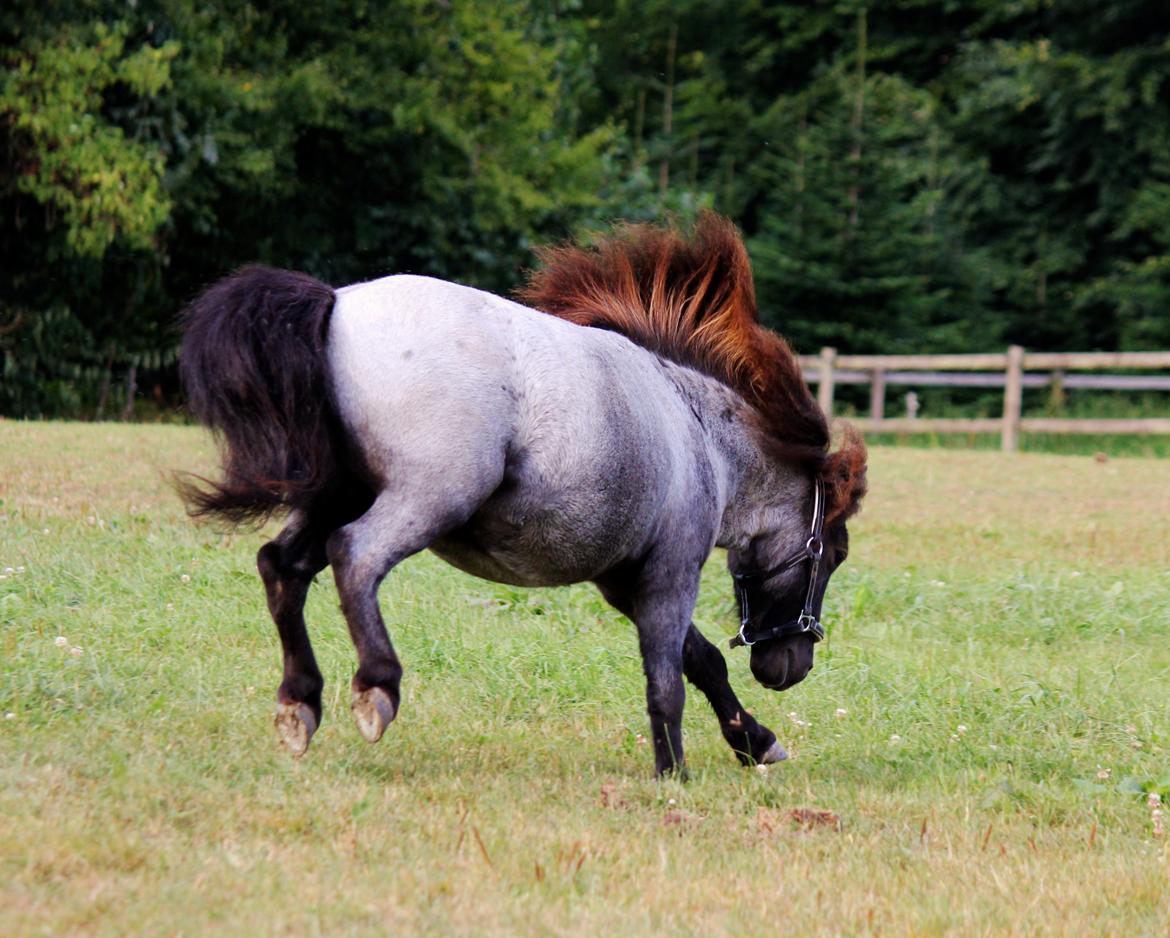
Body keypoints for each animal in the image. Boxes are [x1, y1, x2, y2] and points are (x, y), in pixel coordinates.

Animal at [175, 214, 870, 776]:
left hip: (335, 494)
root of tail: (336, 303)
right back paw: (376, 686)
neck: (695, 429)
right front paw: (673, 776)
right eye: (833, 555)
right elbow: (667, 679)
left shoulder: (621, 578)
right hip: (425, 498)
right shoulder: (671, 571)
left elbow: (700, 662)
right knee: (356, 557)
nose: (791, 666)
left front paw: (756, 741)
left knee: (281, 567)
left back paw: (299, 701)